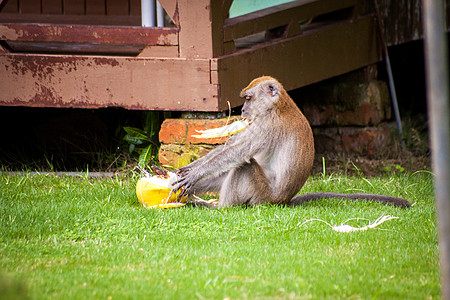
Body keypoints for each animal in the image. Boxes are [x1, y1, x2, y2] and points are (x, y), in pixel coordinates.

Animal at [172, 75, 412, 209]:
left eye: (248, 99)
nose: (243, 110)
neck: (278, 105)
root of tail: (282, 201)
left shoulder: (267, 125)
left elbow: (237, 152)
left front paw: (194, 174)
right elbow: (229, 152)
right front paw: (184, 171)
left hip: (263, 197)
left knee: (244, 166)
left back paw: (219, 208)